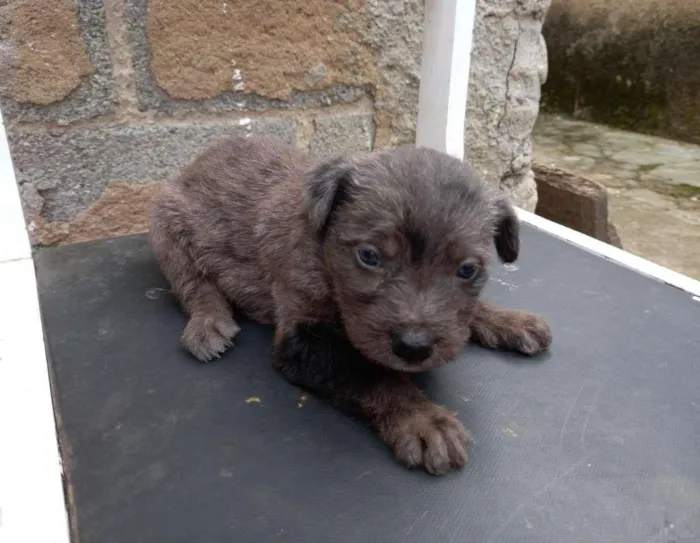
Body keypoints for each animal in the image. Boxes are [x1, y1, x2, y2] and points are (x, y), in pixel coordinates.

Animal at [149, 137, 552, 476]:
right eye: (369, 256)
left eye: (467, 270)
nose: (414, 347)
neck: (323, 254)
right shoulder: (301, 336)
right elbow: (368, 372)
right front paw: (422, 419)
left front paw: (510, 320)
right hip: (166, 225)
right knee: (194, 284)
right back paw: (208, 323)